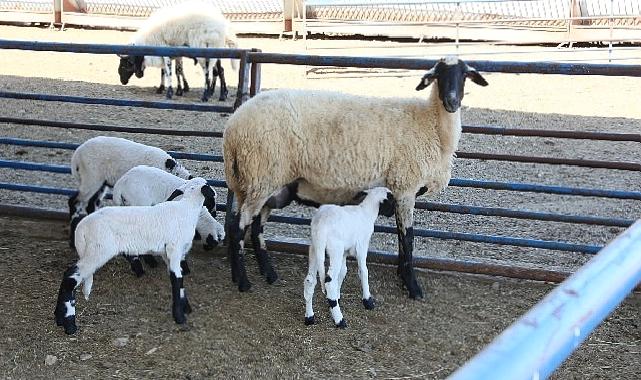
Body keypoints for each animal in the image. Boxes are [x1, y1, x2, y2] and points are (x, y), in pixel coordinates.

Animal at [222, 57, 488, 300]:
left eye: (464, 75)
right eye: (438, 75)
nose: (452, 101)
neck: (431, 125)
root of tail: (232, 129)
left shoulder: (400, 190)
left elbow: (402, 237)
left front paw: (402, 277)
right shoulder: (405, 186)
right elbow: (408, 237)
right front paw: (412, 286)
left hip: (266, 184)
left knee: (255, 227)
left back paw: (266, 273)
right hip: (261, 175)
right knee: (236, 228)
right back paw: (243, 281)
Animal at [302, 186, 396, 326]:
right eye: (392, 201)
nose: (393, 213)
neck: (367, 213)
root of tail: (321, 225)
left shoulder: (345, 252)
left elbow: (343, 272)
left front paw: (338, 296)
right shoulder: (362, 246)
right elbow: (363, 271)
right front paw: (368, 301)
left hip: (315, 249)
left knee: (310, 281)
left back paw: (309, 317)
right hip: (335, 249)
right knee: (329, 281)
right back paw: (339, 320)